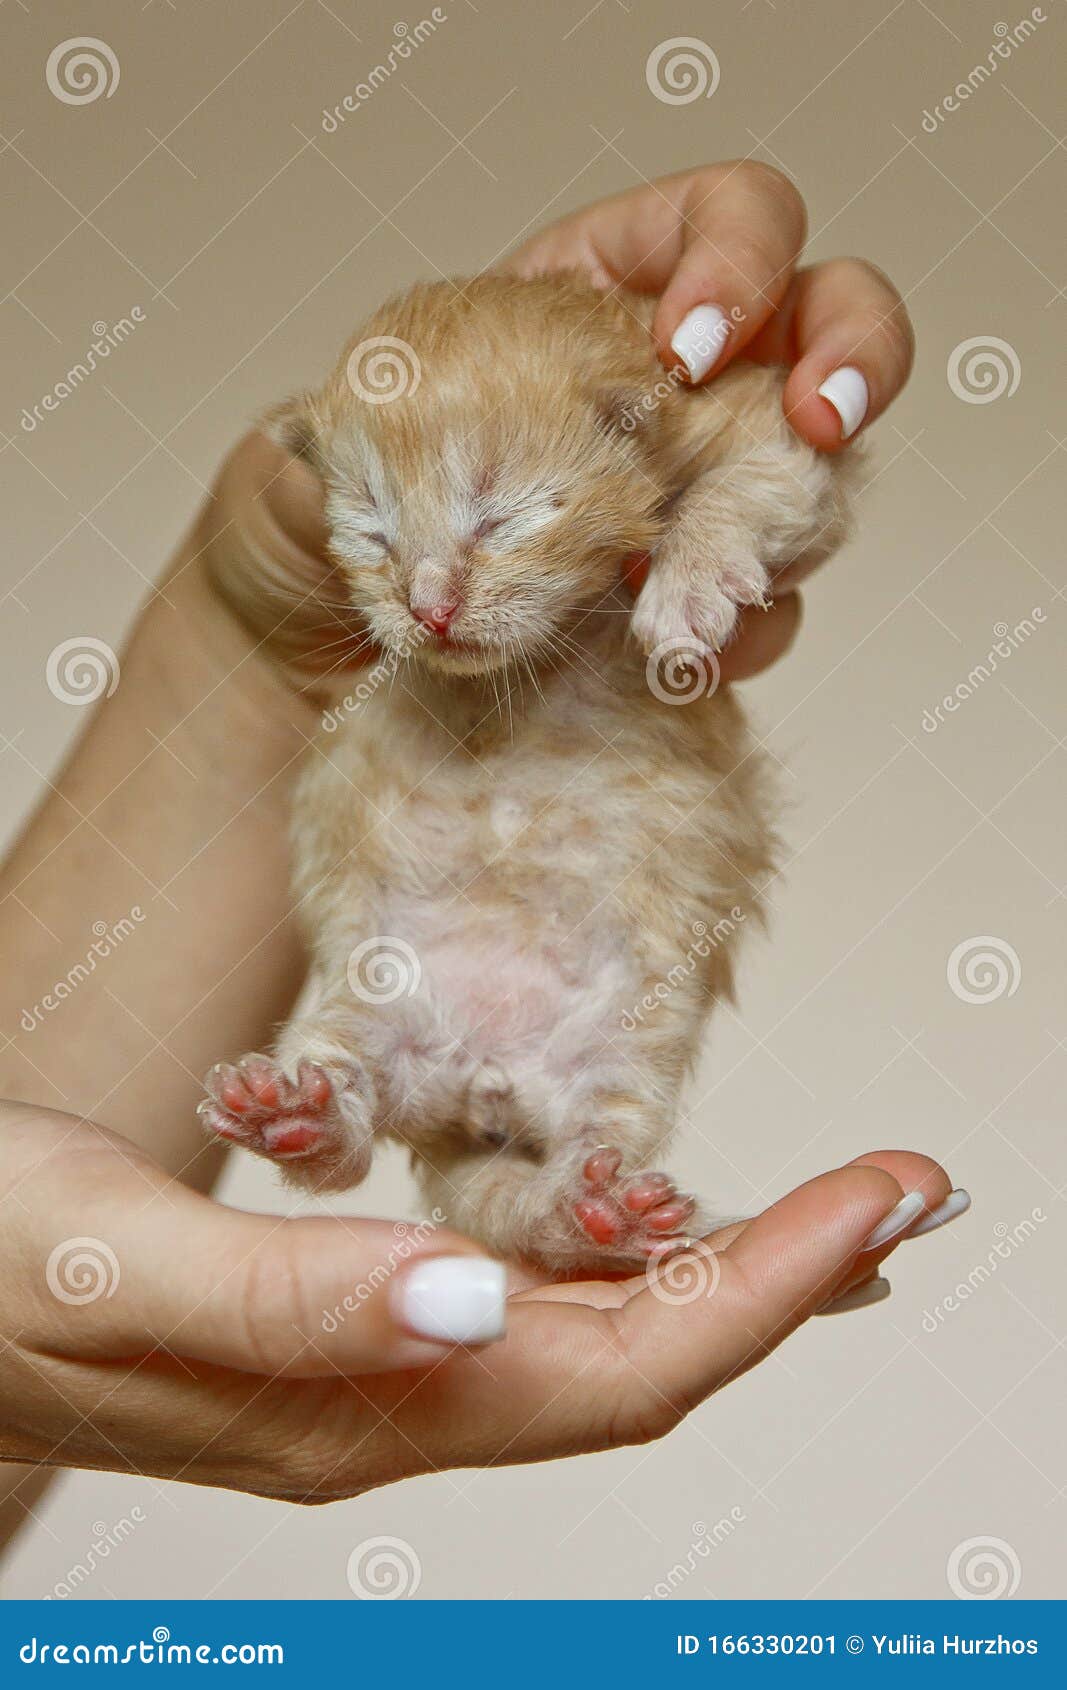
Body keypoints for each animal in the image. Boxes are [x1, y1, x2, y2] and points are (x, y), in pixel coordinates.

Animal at [202, 270, 859, 1270]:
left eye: (500, 517)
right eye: (372, 531)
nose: (428, 609)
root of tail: (485, 1079)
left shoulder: (768, 426)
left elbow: (750, 481)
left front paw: (686, 583)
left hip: (628, 1047)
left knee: (591, 1142)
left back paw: (596, 1211)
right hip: (365, 1002)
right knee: (347, 1125)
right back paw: (298, 1121)